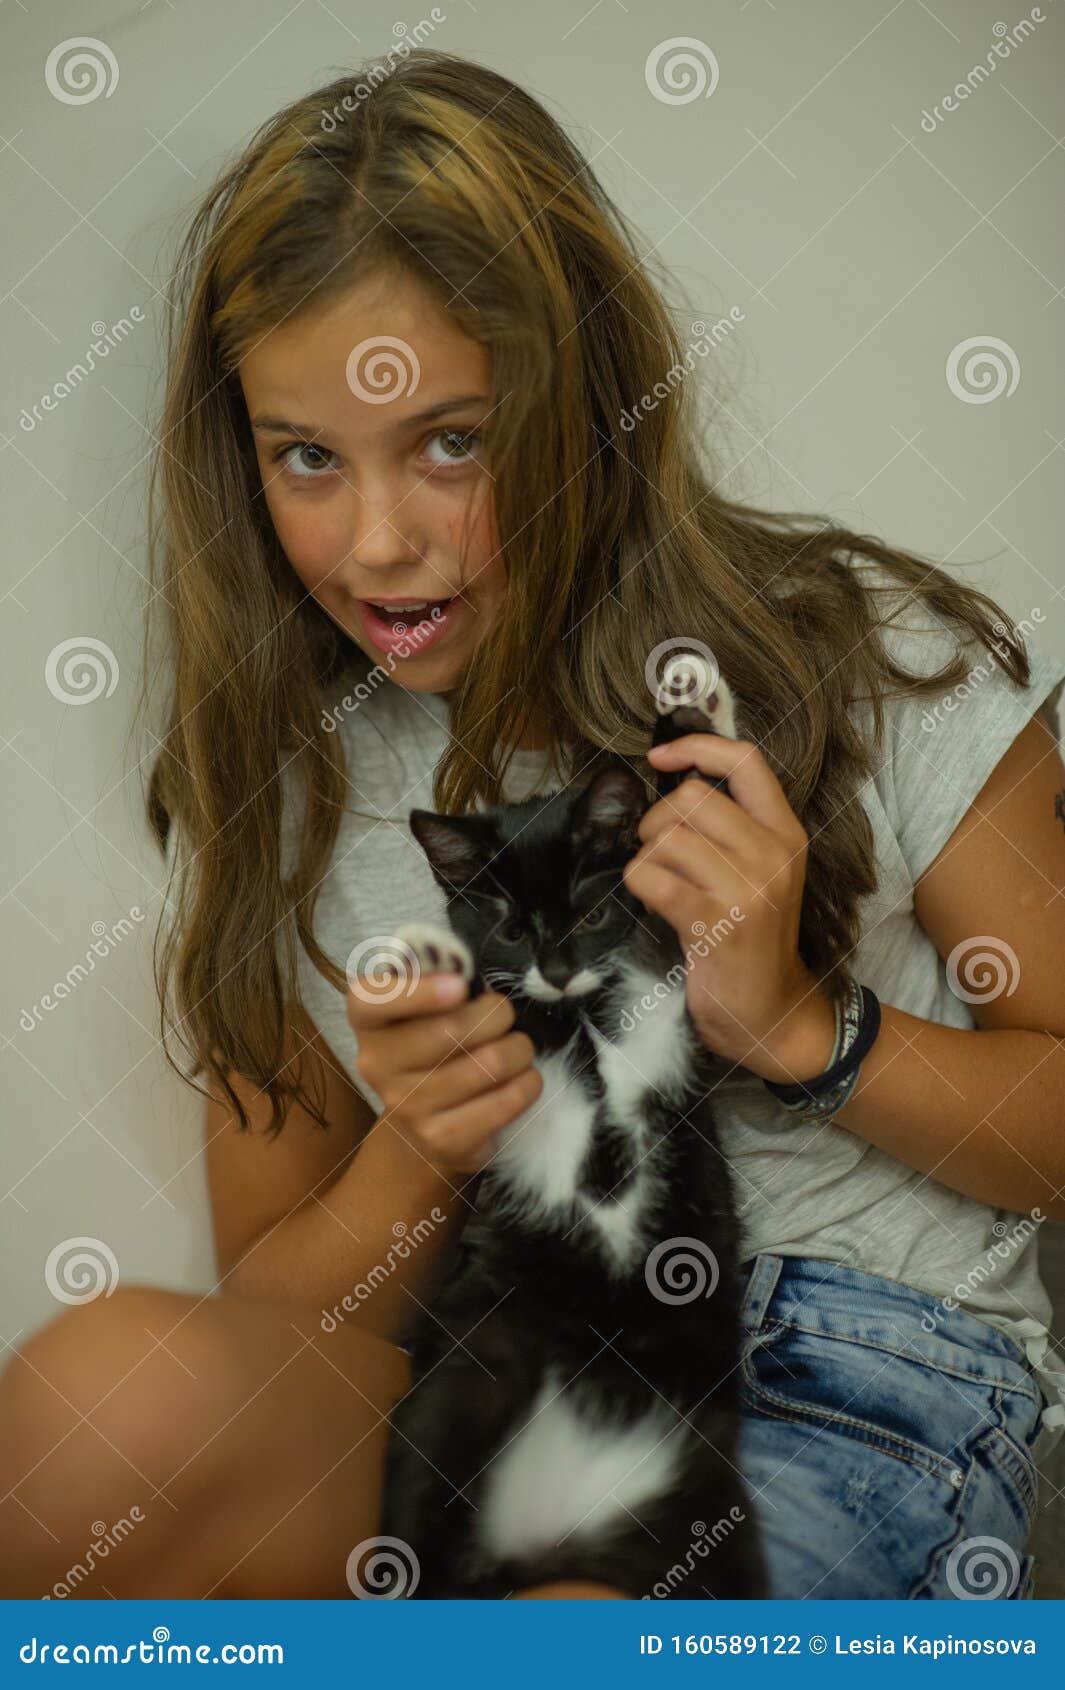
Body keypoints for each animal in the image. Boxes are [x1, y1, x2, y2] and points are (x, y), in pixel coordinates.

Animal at [375, 655, 767, 1595]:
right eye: (511, 928)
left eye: (589, 915)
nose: (555, 971)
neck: (580, 1018)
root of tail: (546, 1535)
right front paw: (427, 963)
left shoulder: (676, 978)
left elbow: (695, 814)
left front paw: (694, 709)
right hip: (467, 1375)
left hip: (709, 1511)